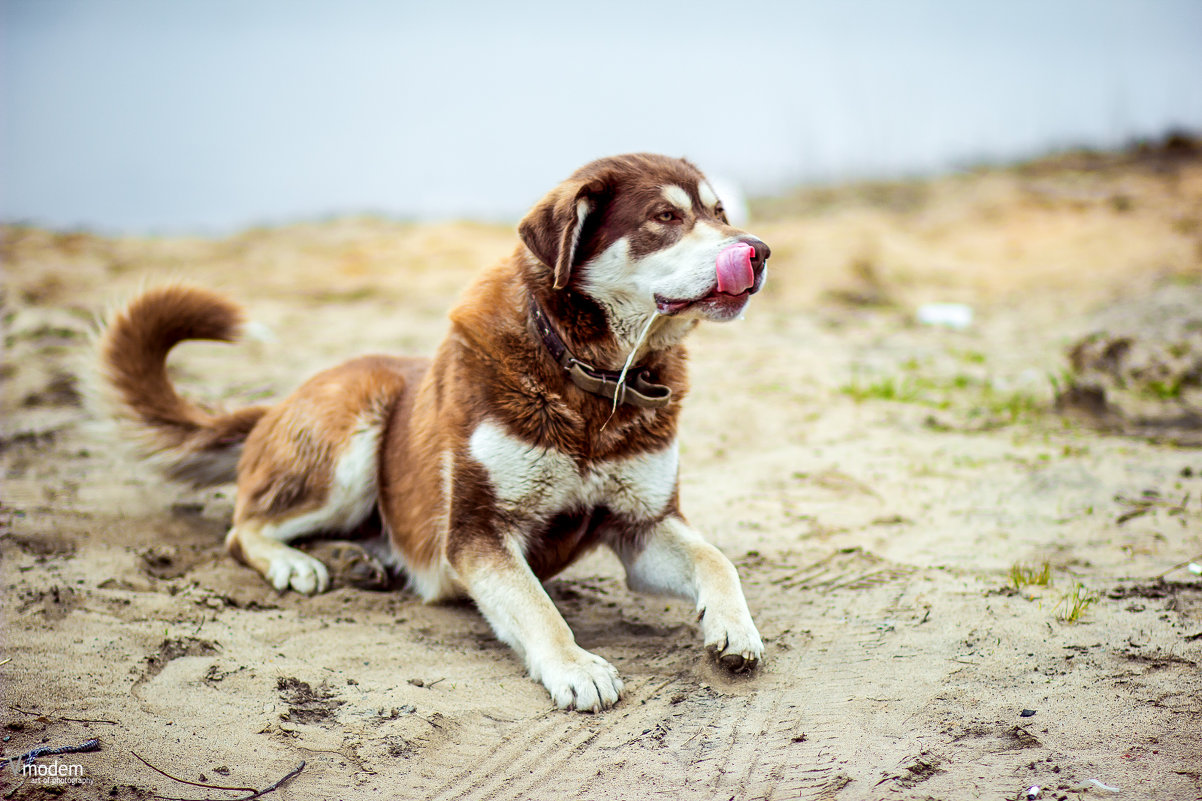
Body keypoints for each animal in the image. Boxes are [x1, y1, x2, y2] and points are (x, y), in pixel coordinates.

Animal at [96, 152, 769, 707]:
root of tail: (273, 406)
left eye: (720, 212)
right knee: (243, 527)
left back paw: (359, 561)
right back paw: (296, 564)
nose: (758, 251)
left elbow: (716, 560)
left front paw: (734, 625)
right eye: (664, 216)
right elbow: (538, 606)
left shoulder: (643, 525)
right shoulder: (477, 531)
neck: (585, 375)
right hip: (353, 434)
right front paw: (576, 666)